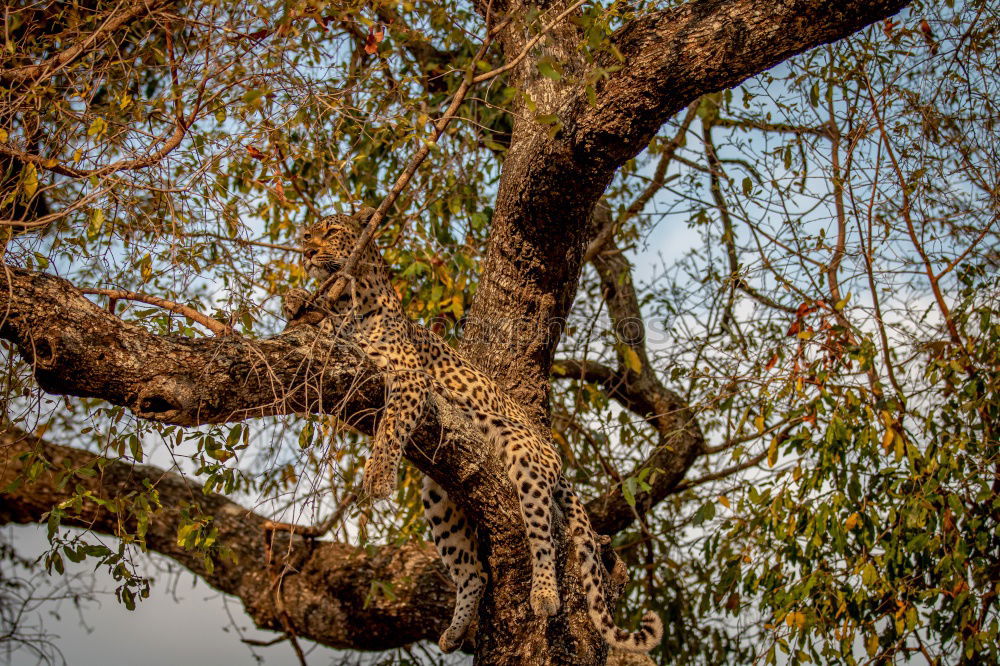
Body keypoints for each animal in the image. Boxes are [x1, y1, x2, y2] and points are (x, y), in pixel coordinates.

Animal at [284, 206, 664, 648]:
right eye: (307, 235)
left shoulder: (409, 377)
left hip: (523, 455)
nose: (307, 251)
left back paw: (544, 595)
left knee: (542, 537)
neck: (351, 297)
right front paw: (296, 301)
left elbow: (391, 426)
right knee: (475, 573)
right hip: (439, 498)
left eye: (330, 233)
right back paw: (454, 632)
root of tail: (553, 452)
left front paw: (377, 477)